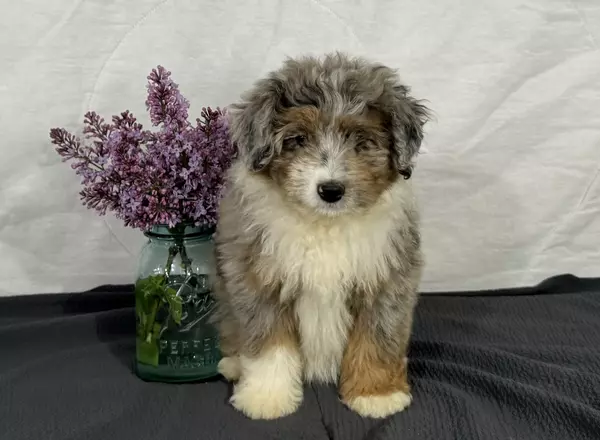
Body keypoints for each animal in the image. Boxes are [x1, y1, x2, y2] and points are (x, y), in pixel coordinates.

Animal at [213, 51, 428, 420]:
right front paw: (267, 397)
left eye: (361, 141)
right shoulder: (258, 279)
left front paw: (376, 393)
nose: (331, 190)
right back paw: (234, 363)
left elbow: (378, 336)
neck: (324, 224)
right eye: (298, 139)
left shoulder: (387, 280)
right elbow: (269, 343)